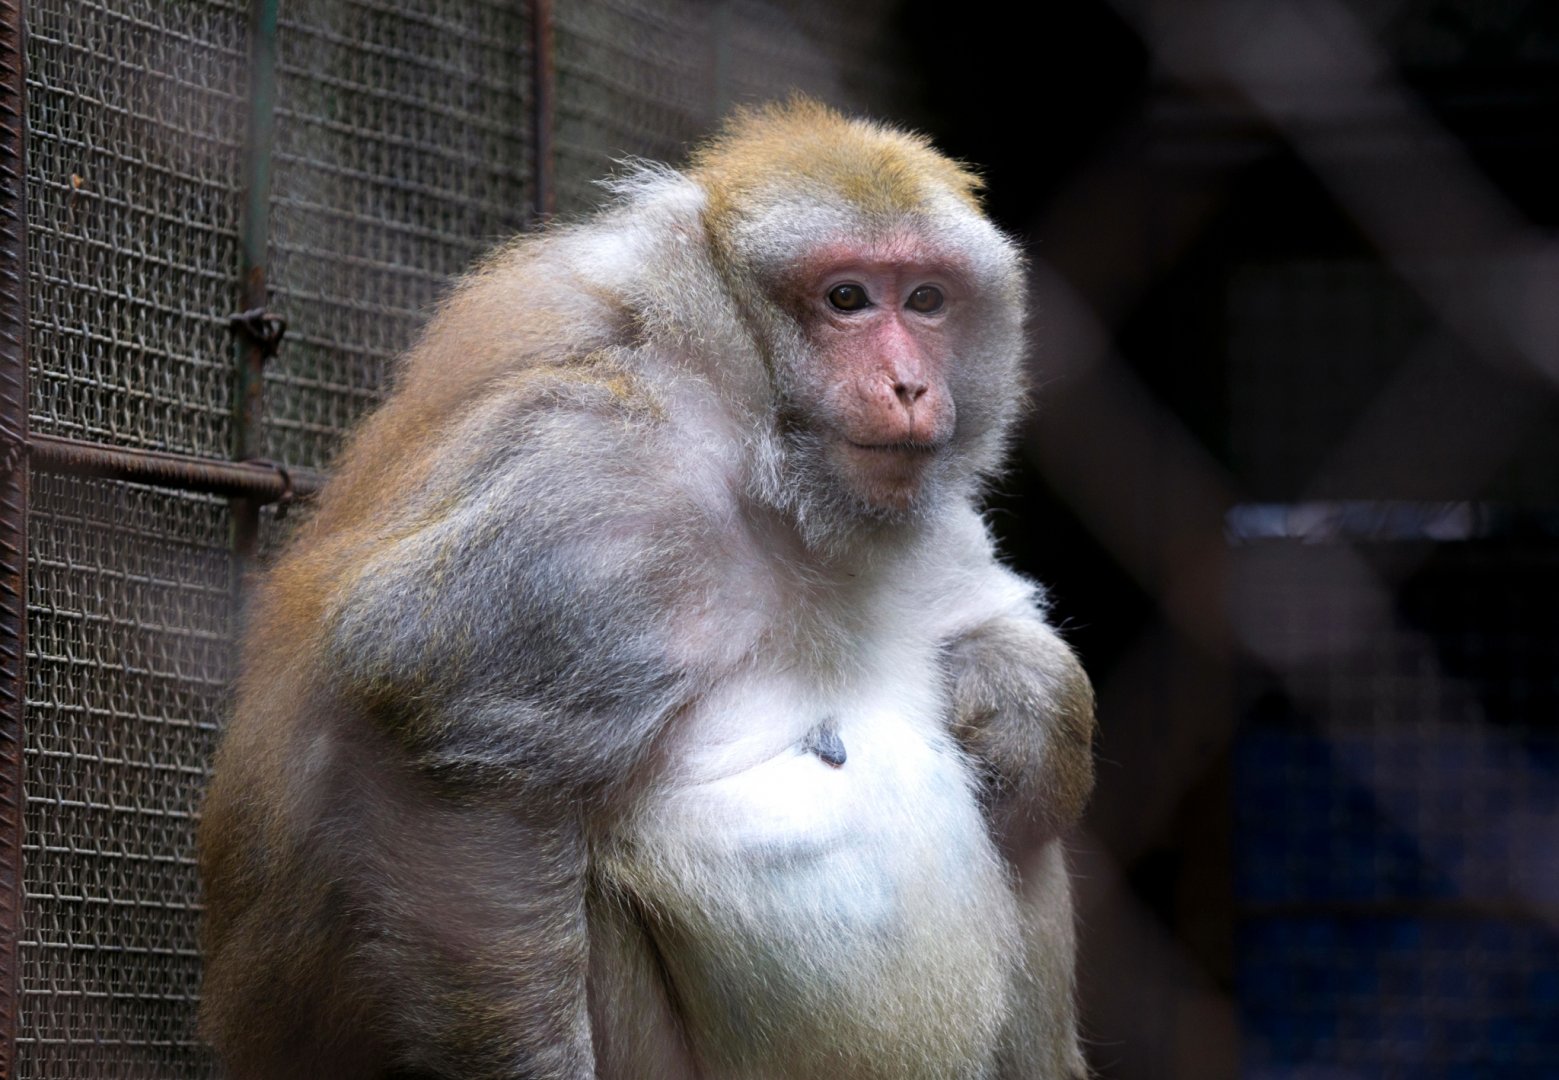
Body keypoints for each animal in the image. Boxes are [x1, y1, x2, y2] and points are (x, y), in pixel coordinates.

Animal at [197, 99, 1096, 1080]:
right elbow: (425, 721)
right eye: (846, 299)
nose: (908, 385)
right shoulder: (607, 487)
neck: (770, 476)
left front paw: (1025, 704)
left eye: (925, 300)